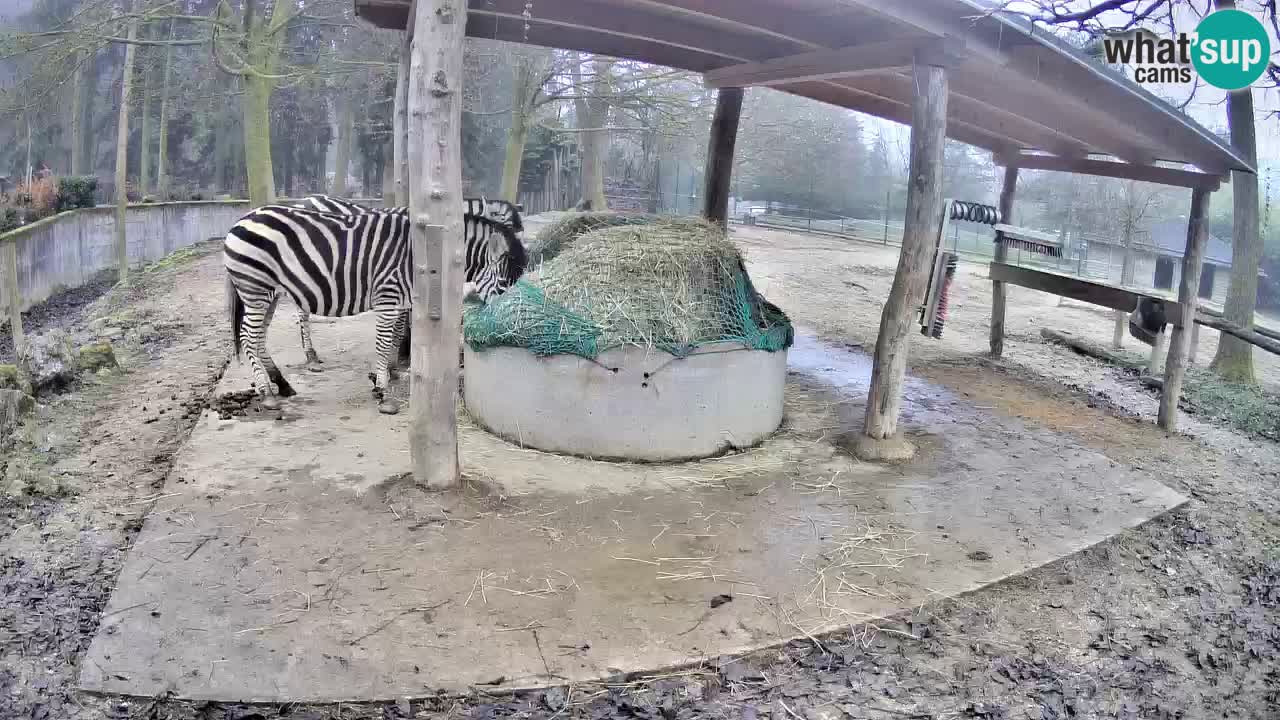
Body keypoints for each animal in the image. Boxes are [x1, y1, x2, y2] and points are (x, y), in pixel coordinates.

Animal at [224, 203, 527, 414]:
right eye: (504, 285)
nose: (510, 328)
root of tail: (241, 220)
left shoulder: (401, 301)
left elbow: (393, 338)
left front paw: (383, 378)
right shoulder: (388, 297)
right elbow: (383, 343)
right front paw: (384, 393)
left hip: (268, 294)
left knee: (258, 338)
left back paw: (281, 384)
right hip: (256, 289)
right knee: (248, 338)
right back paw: (266, 393)